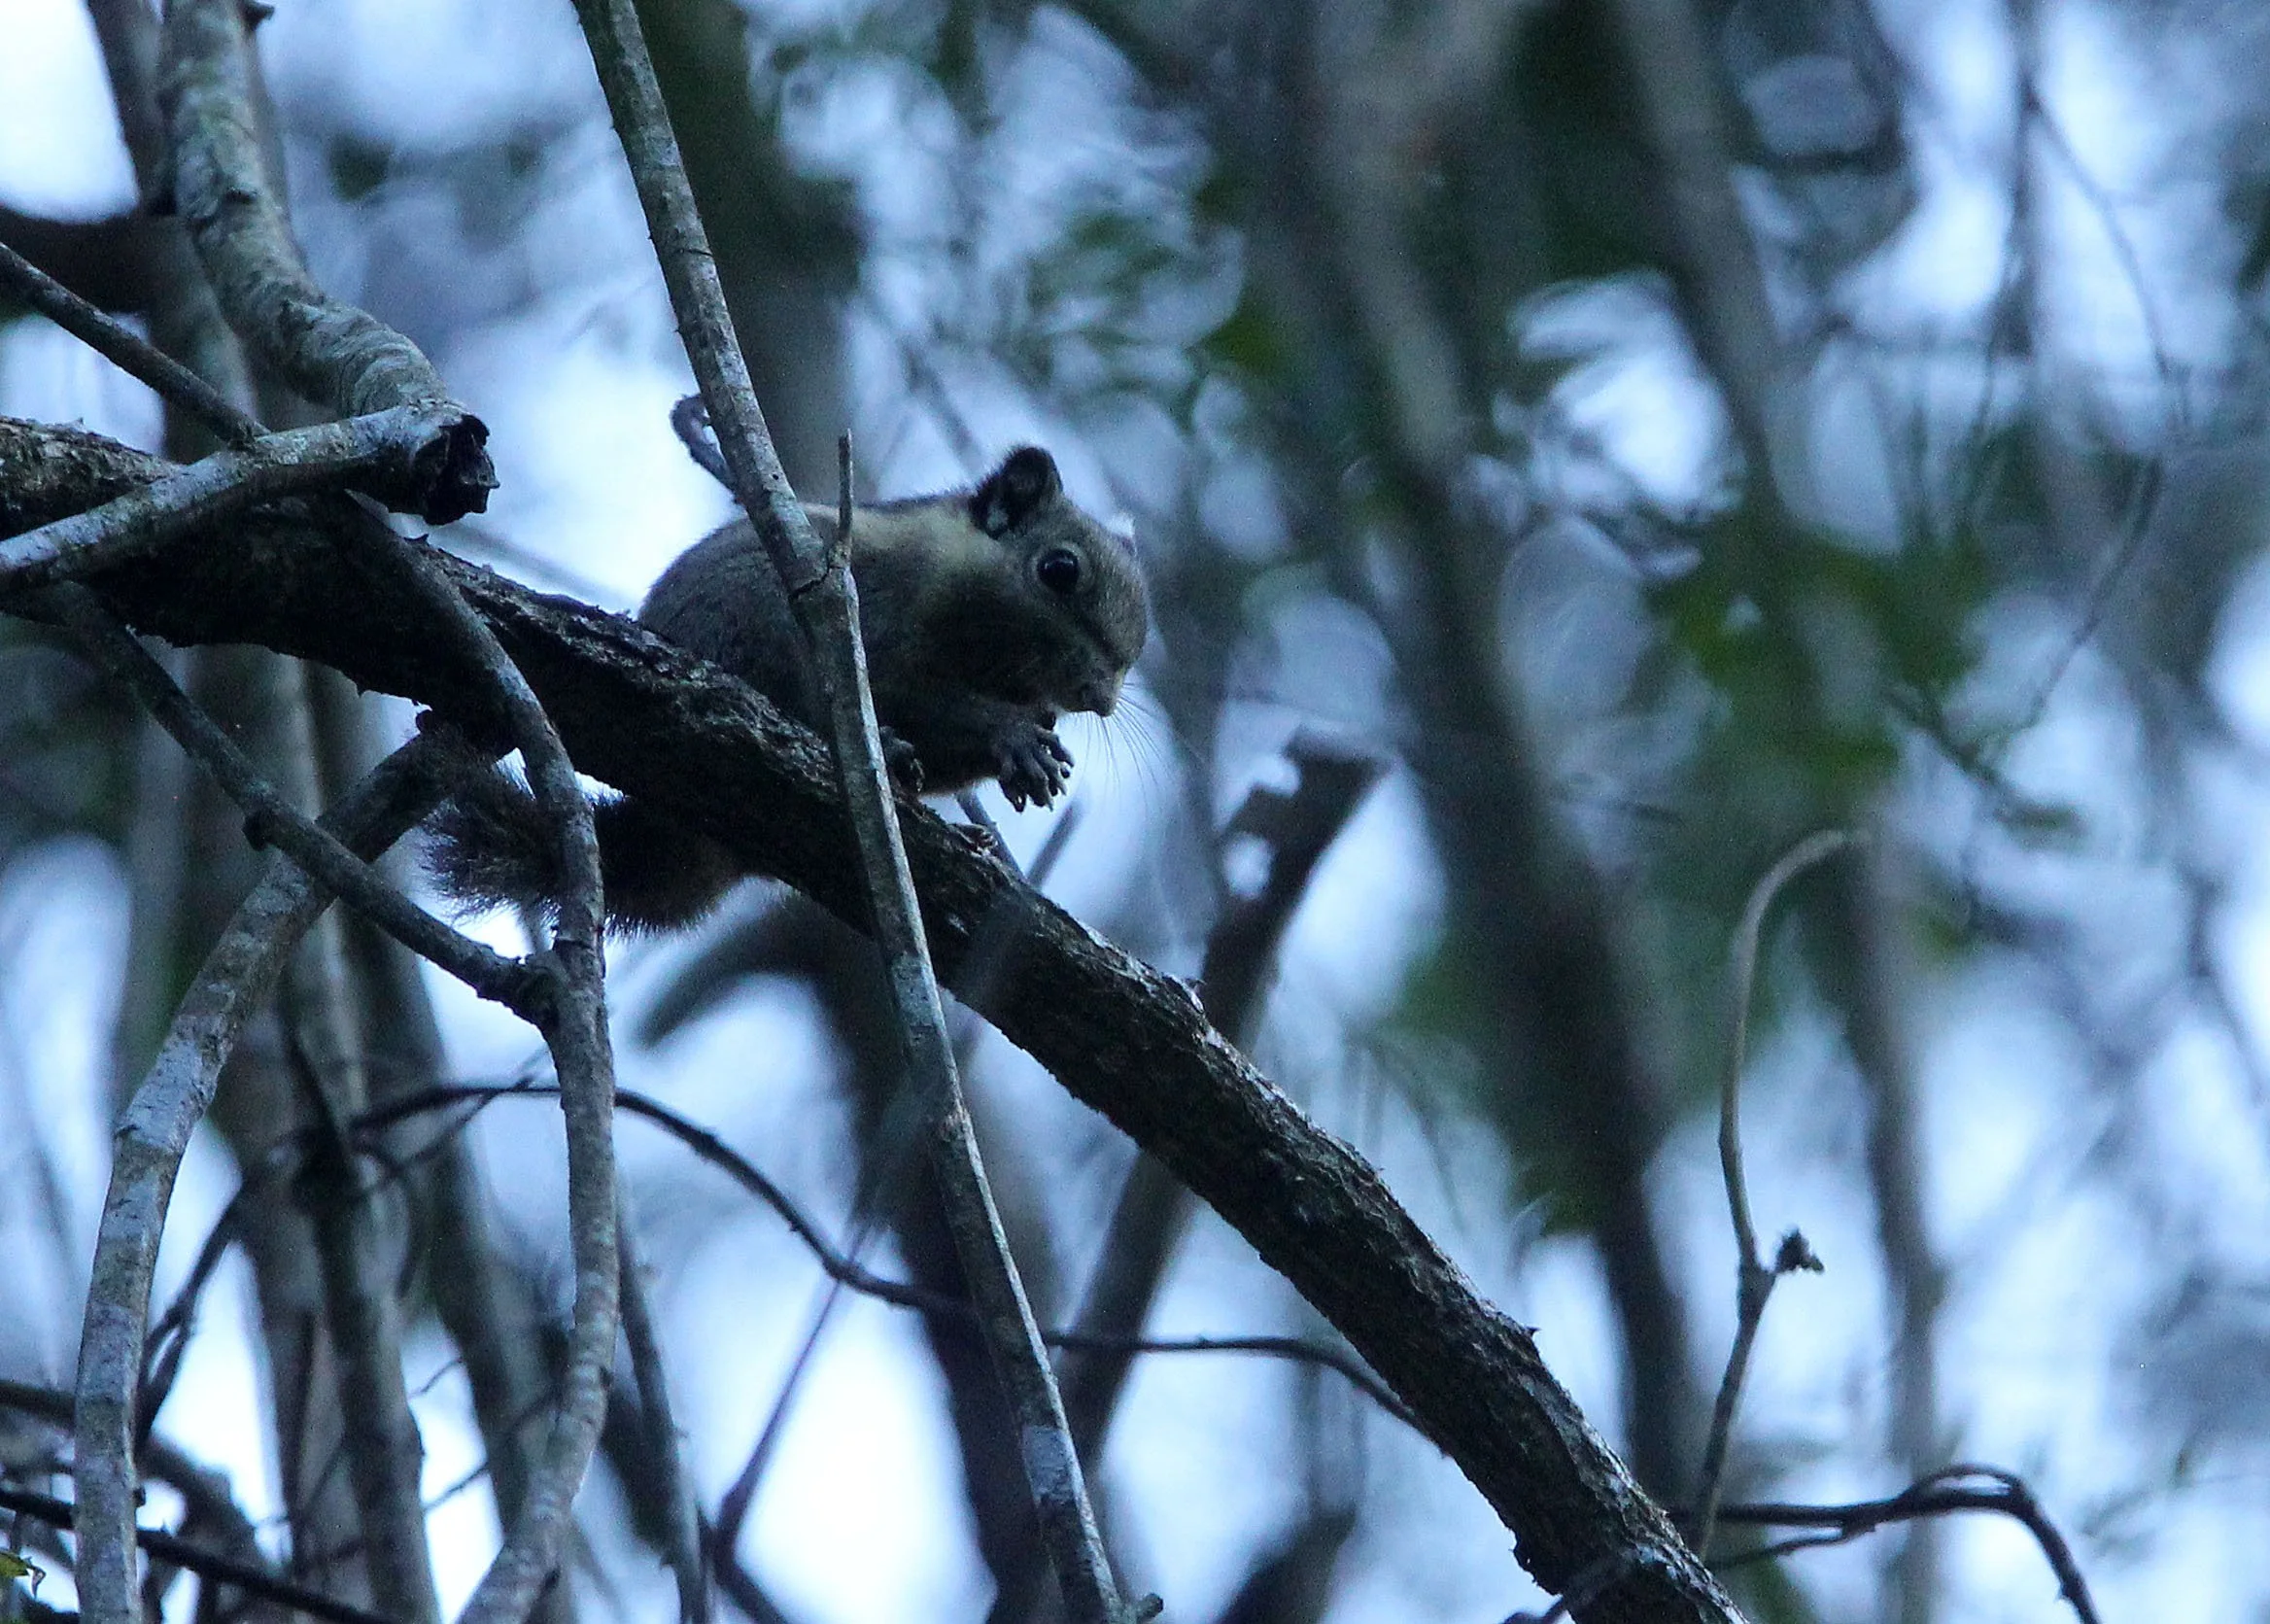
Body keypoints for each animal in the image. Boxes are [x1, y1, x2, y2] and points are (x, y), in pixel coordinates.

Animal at [427, 444, 1149, 932]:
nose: (1100, 696)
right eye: (1059, 570)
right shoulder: (871, 624)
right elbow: (919, 701)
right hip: (755, 623)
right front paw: (1012, 737)